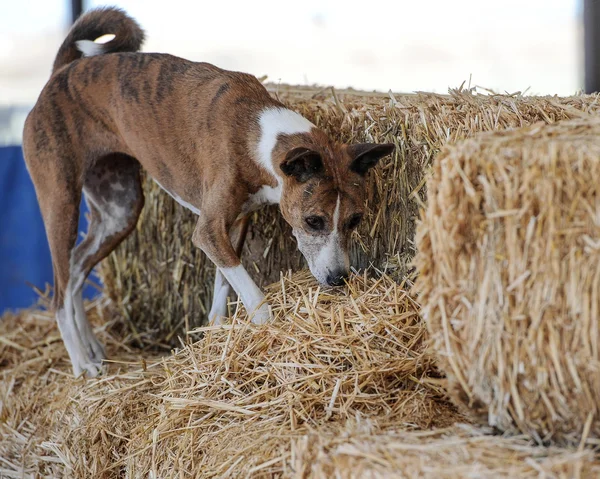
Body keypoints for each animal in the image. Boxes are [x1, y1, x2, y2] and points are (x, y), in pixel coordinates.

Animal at [23, 5, 396, 376]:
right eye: (314, 221)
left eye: (355, 220)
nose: (339, 279)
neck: (256, 136)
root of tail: (62, 72)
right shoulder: (208, 230)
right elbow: (255, 297)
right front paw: (265, 327)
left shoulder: (235, 223)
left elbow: (224, 283)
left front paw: (215, 334)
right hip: (61, 206)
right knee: (59, 293)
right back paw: (81, 364)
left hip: (120, 211)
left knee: (75, 272)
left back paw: (94, 349)